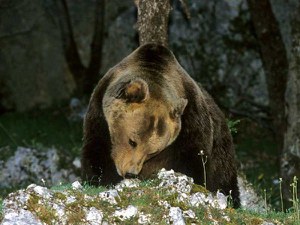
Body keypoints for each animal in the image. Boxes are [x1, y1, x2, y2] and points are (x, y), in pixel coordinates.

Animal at [81, 43, 240, 207]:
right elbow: (97, 150)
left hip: (221, 149)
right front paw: (100, 180)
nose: (130, 173)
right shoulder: (100, 112)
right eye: (132, 141)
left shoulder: (191, 122)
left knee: (223, 179)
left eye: (152, 152)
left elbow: (194, 161)